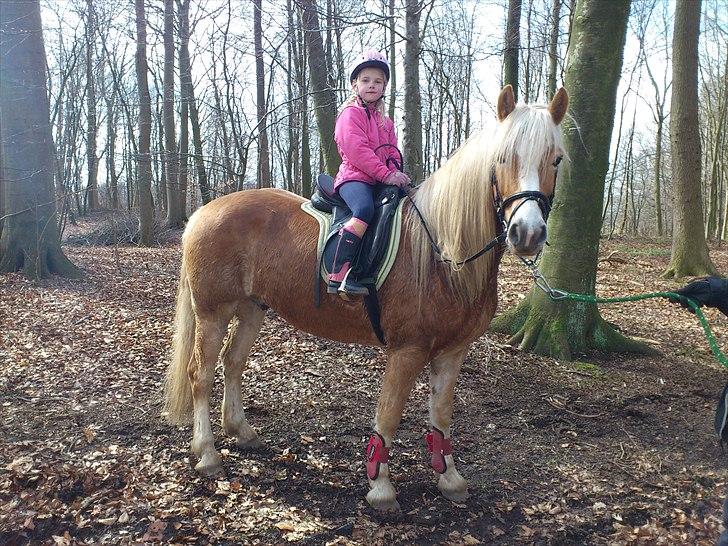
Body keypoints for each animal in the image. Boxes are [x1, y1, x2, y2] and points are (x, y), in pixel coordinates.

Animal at [164, 85, 568, 510]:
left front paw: (450, 479)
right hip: (212, 312)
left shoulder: (453, 351)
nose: (527, 233)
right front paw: (381, 487)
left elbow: (441, 415)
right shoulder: (407, 349)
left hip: (252, 309)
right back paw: (208, 454)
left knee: (233, 363)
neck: (441, 252)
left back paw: (241, 430)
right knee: (200, 374)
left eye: (556, 159)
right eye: (503, 157)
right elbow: (388, 414)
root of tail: (203, 212)